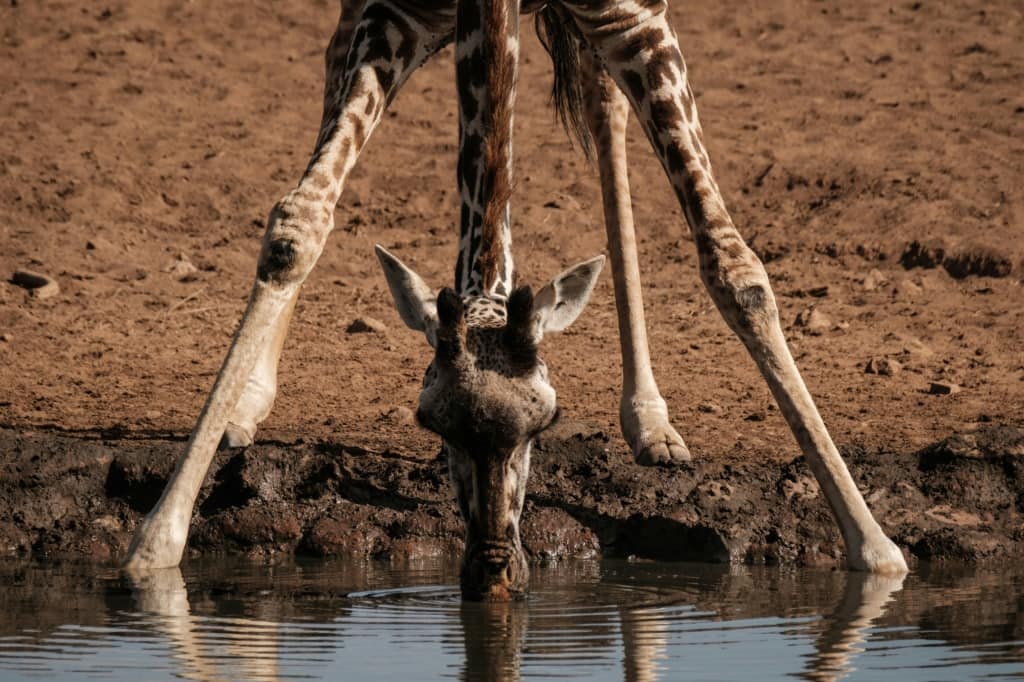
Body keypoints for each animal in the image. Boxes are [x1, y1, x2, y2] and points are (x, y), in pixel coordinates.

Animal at [121, 0, 913, 589]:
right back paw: (247, 402)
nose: (492, 571)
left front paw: (875, 550)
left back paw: (650, 420)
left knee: (603, 109)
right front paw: (157, 543)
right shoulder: (390, 12)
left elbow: (735, 269)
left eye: (547, 424)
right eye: (429, 424)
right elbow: (298, 225)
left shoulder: (633, 16)